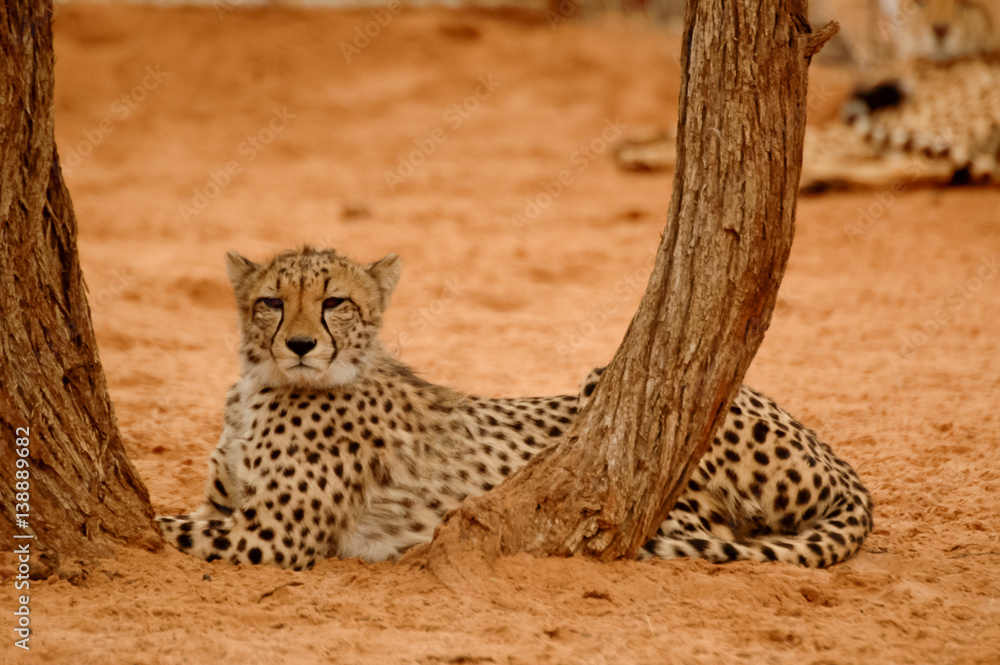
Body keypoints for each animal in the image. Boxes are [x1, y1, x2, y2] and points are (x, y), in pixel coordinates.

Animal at [156, 246, 874, 570]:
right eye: (271, 303)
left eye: (336, 302)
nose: (301, 344)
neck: (259, 385)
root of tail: (845, 469)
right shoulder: (227, 510)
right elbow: (178, 518)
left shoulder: (272, 537)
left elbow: (167, 529)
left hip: (604, 381)